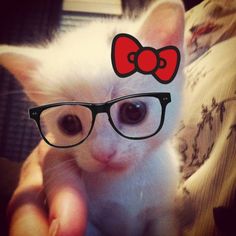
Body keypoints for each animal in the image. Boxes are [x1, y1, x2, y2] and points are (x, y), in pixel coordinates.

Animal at [0, 0, 184, 235]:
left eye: (134, 111)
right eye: (69, 123)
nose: (103, 153)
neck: (121, 183)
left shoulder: (163, 214)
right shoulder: (89, 224)